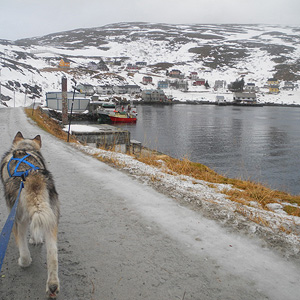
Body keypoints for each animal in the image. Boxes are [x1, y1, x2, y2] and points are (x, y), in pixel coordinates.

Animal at [0, 132, 60, 298]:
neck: (25, 148)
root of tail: (32, 176)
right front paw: (36, 240)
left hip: (17, 219)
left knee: (23, 248)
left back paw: (23, 261)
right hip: (51, 219)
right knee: (52, 254)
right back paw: (52, 285)